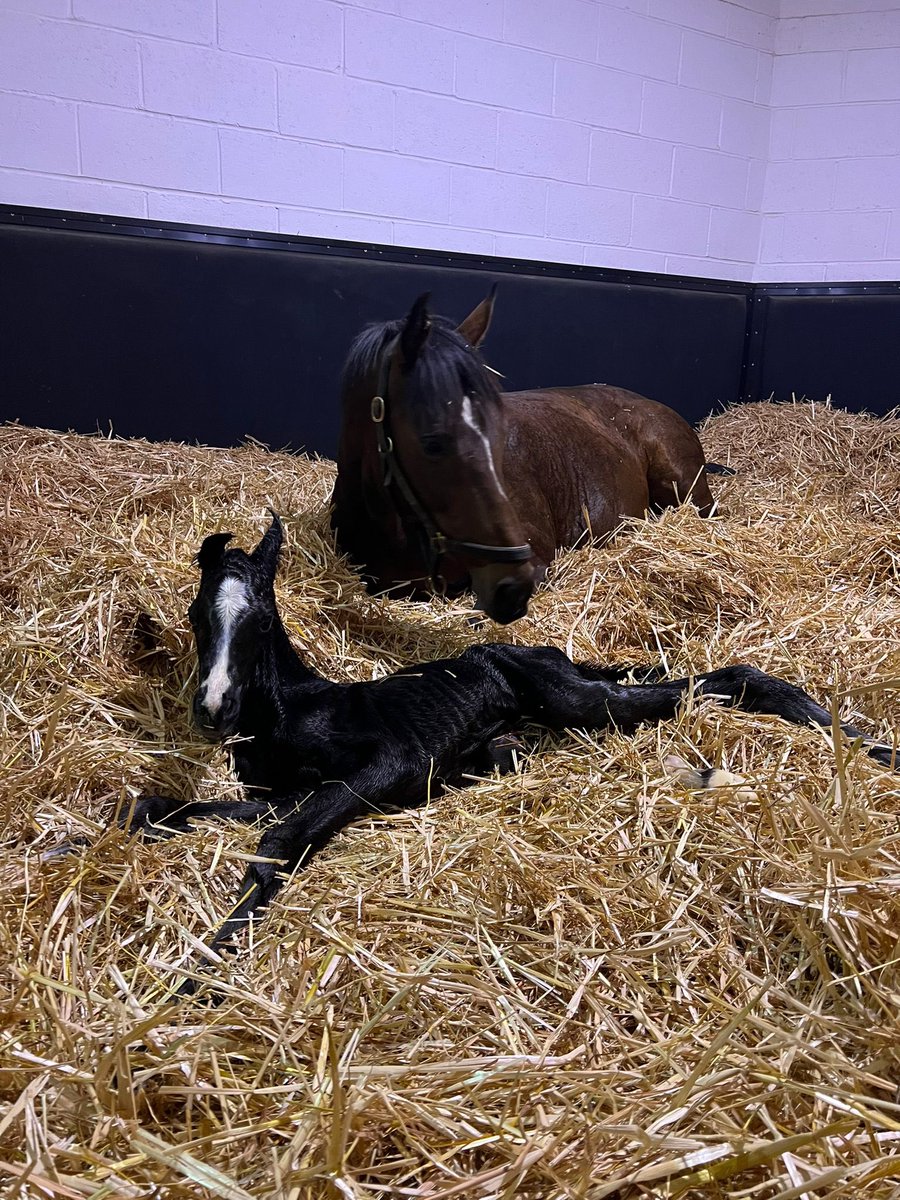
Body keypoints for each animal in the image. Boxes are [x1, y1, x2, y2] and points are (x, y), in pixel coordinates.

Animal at [125, 516, 896, 993]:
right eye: (195, 615)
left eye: (258, 619)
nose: (213, 708)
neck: (289, 709)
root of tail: (537, 650)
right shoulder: (274, 790)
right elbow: (163, 809)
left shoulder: (392, 761)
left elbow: (283, 839)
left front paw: (198, 974)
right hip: (561, 699)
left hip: (573, 699)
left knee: (727, 679)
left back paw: (864, 741)